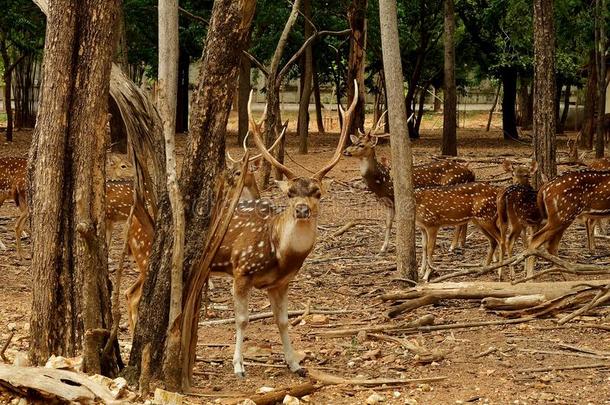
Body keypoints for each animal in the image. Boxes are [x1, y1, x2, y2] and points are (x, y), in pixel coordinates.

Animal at [340, 114, 472, 252]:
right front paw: (383, 247)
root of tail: (469, 172)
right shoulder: (388, 203)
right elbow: (388, 224)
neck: (382, 181)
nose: (345, 151)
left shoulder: (398, 199)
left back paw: (452, 246)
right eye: (353, 142)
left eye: (361, 145)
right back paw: (461, 243)